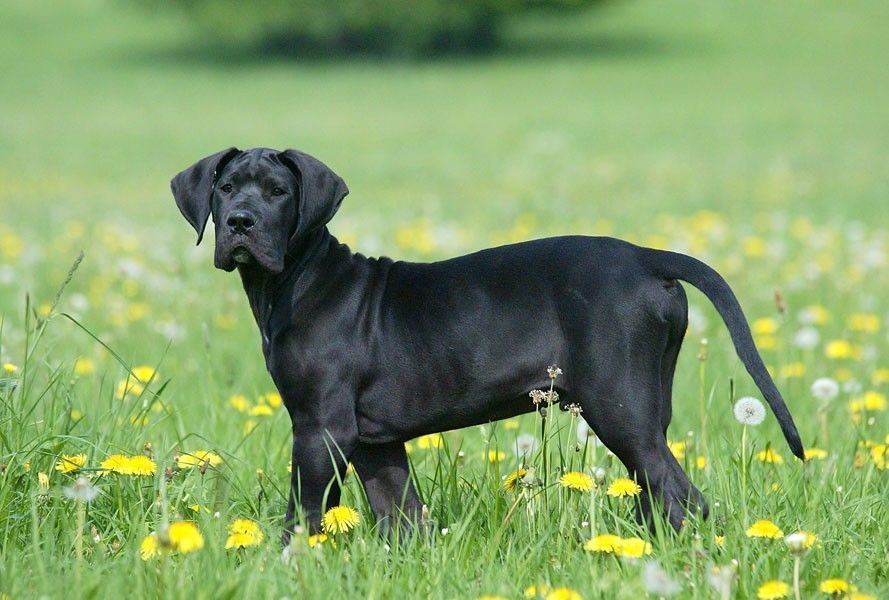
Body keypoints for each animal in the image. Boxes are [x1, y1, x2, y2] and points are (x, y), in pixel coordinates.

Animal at [172, 147, 804, 541]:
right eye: (225, 188)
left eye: (279, 191)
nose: (241, 222)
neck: (296, 280)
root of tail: (647, 257)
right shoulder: (375, 441)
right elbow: (401, 516)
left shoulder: (321, 427)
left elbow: (302, 514)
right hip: (647, 408)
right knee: (658, 491)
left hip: (618, 407)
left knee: (681, 496)